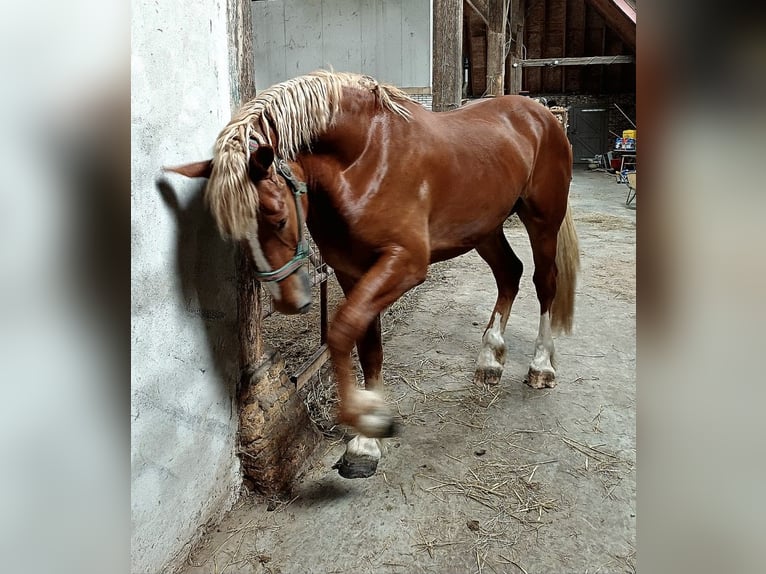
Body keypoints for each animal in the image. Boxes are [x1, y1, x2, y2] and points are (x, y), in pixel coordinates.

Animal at [165, 71, 580, 476]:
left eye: (277, 217)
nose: (288, 302)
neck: (365, 160)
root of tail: (541, 114)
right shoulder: (352, 272)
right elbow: (368, 346)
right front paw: (366, 443)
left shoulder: (405, 263)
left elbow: (341, 332)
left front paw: (368, 423)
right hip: (486, 228)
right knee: (509, 273)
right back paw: (489, 360)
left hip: (542, 221)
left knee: (544, 284)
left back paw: (542, 367)